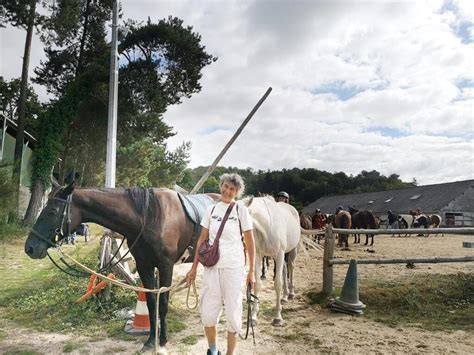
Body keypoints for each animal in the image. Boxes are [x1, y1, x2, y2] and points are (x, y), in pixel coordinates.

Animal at [244, 196, 300, 326]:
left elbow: (277, 284)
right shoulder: (258, 256)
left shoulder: (279, 254)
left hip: (291, 250)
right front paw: (253, 316)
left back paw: (291, 293)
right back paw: (284, 297)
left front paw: (278, 317)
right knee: (284, 269)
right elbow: (257, 284)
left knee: (291, 267)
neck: (267, 227)